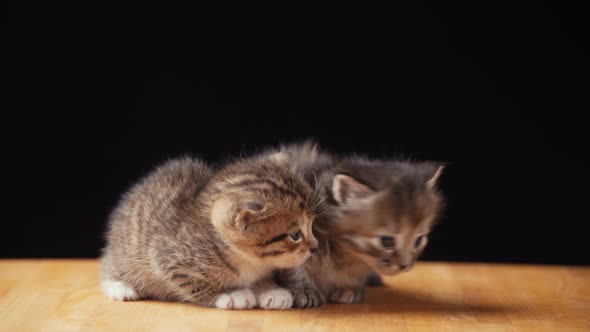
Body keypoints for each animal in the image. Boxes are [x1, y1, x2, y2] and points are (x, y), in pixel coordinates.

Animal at [100, 154, 320, 310]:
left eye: (311, 225)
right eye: (295, 235)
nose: (315, 248)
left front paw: (270, 290)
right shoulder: (169, 259)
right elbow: (197, 285)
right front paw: (231, 294)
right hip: (126, 250)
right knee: (110, 267)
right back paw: (120, 287)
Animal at [272, 141, 444, 308]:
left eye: (419, 240)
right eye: (387, 241)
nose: (404, 265)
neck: (345, 252)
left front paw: (350, 288)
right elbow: (295, 268)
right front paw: (305, 291)